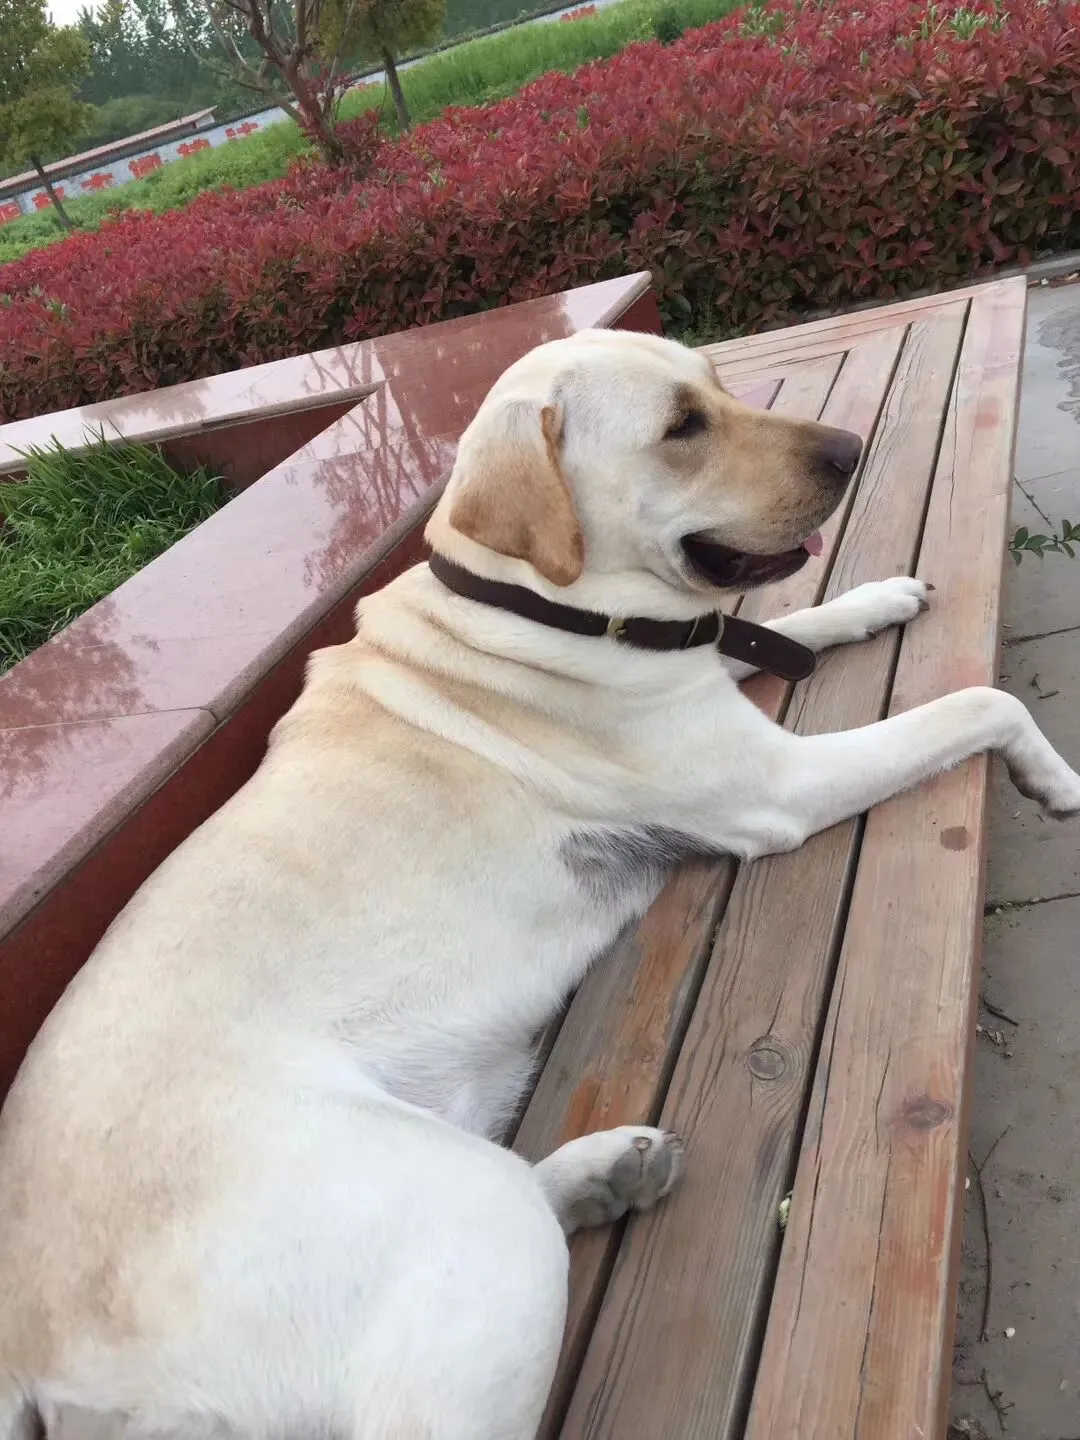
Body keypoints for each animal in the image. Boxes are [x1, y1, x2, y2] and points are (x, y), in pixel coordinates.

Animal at [2, 328, 1078, 1440]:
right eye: (682, 427)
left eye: (722, 386)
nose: (850, 449)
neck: (539, 606)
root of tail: (29, 1356)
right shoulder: (775, 784)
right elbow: (979, 702)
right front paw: (1055, 777)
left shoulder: (709, 674)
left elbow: (794, 623)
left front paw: (876, 600)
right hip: (451, 1214)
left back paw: (605, 1174)